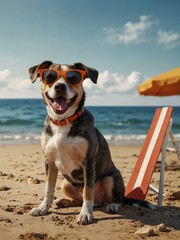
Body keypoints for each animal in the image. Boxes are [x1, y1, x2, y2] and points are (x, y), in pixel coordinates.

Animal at [28, 60, 153, 225]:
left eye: (73, 77)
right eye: (49, 76)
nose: (60, 86)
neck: (63, 122)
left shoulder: (88, 162)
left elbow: (88, 190)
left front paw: (86, 214)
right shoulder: (50, 160)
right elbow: (48, 187)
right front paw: (43, 207)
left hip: (111, 178)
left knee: (114, 198)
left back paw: (112, 205)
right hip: (65, 183)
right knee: (78, 199)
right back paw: (64, 201)